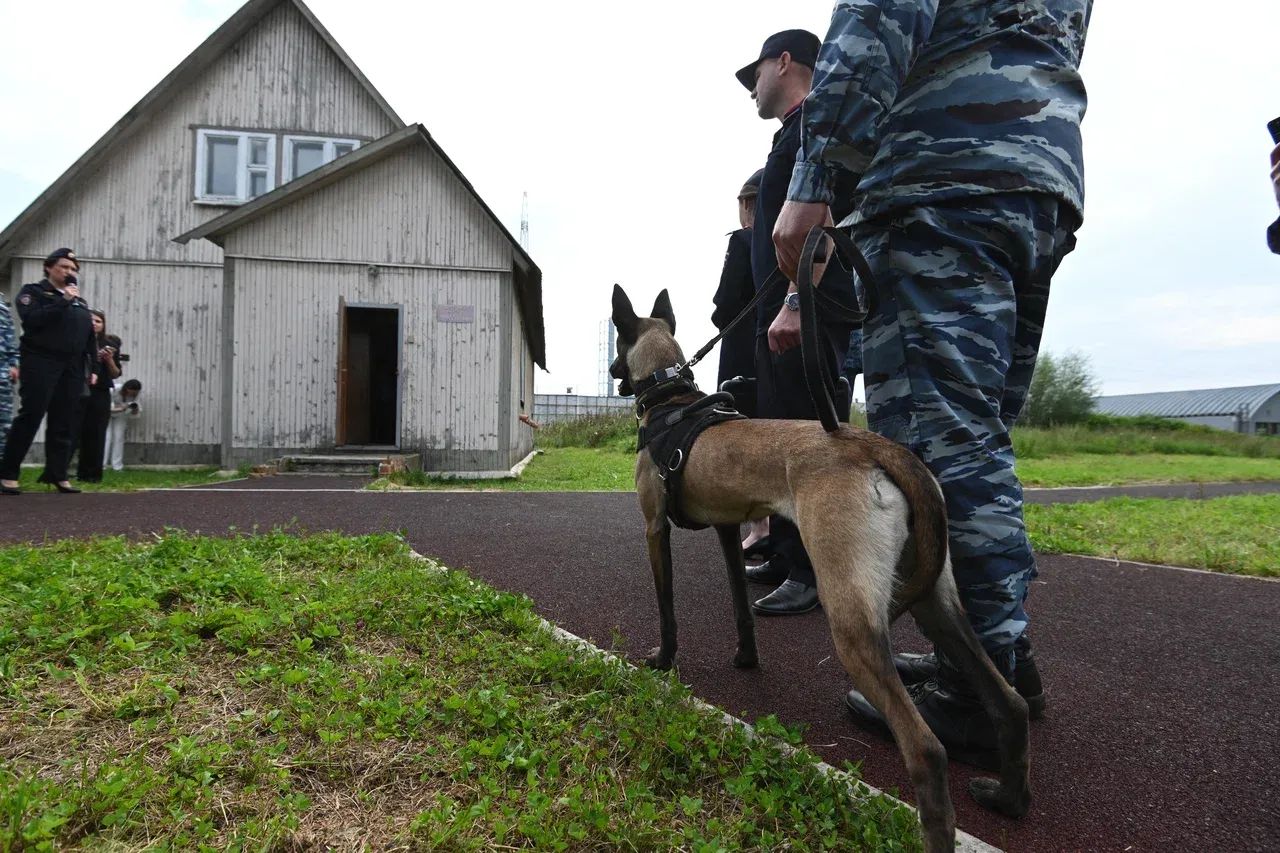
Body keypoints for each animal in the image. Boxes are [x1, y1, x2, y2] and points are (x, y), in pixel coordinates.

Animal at [606, 285, 1029, 850]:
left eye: (616, 339)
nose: (613, 372)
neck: (671, 401)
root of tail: (876, 446)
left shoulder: (655, 529)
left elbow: (667, 607)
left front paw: (661, 660)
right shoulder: (727, 530)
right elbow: (741, 606)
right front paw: (745, 657)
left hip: (852, 621)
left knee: (927, 750)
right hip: (938, 604)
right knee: (1010, 702)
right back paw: (1009, 798)